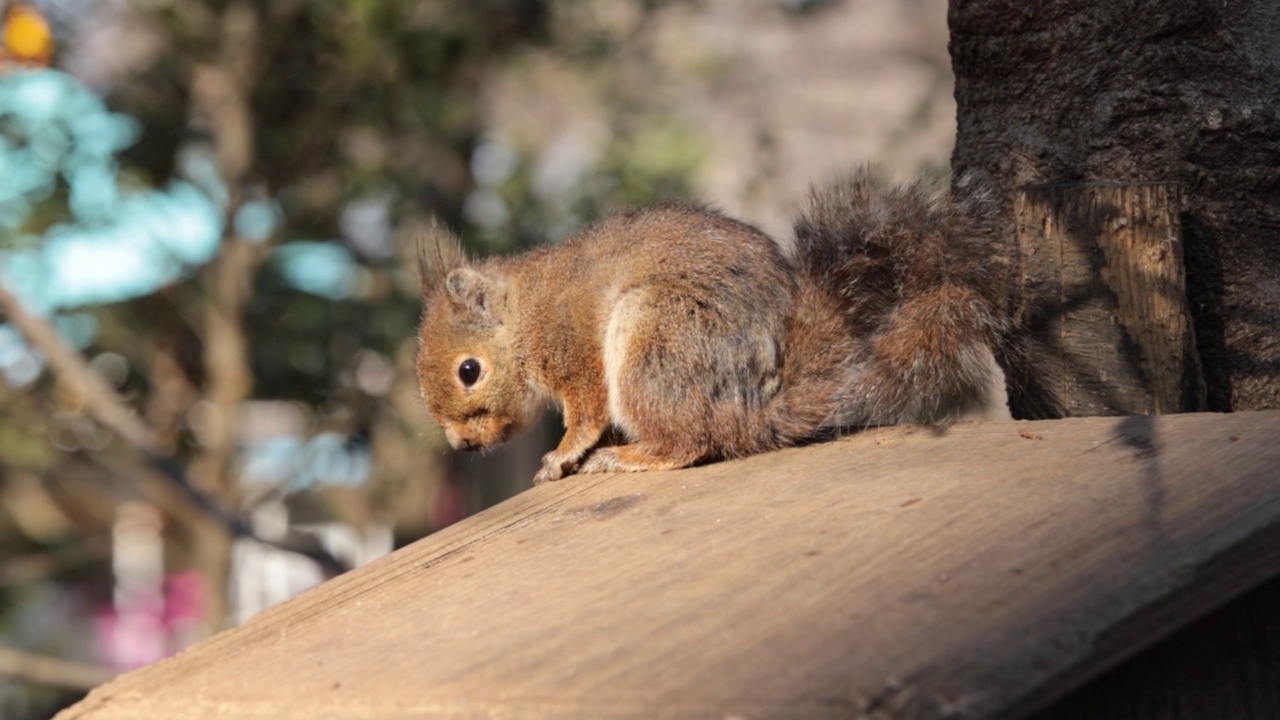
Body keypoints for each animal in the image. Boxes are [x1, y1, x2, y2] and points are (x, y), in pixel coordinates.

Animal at [414, 165, 1013, 484]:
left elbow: (585, 412)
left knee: (691, 442)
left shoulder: (572, 349)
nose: (464, 447)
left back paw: (623, 456)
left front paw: (561, 455)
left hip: (655, 337)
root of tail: (749, 414)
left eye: (469, 371)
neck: (523, 316)